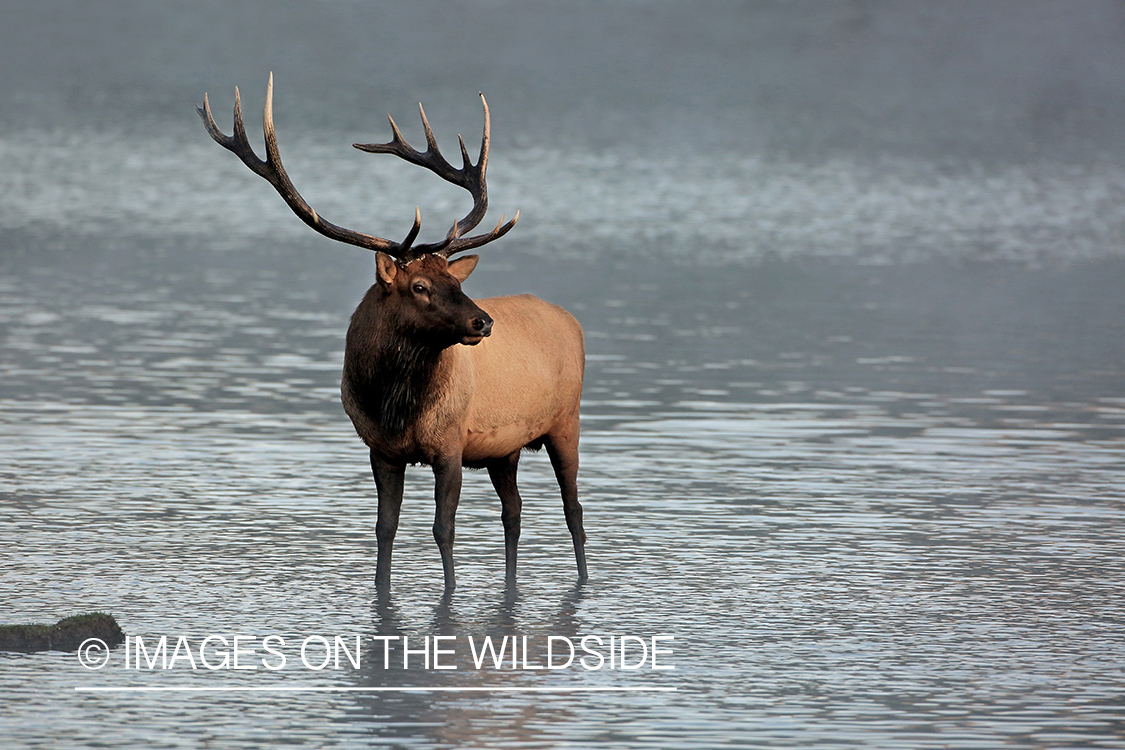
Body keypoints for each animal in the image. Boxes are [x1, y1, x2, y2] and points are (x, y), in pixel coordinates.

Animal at [200, 76, 589, 593]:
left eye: (456, 281)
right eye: (419, 285)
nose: (483, 322)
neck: (395, 408)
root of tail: (570, 319)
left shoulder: (450, 444)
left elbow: (442, 528)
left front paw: (449, 594)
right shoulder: (380, 450)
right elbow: (385, 527)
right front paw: (383, 594)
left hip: (566, 420)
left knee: (573, 510)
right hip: (505, 448)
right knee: (515, 511)